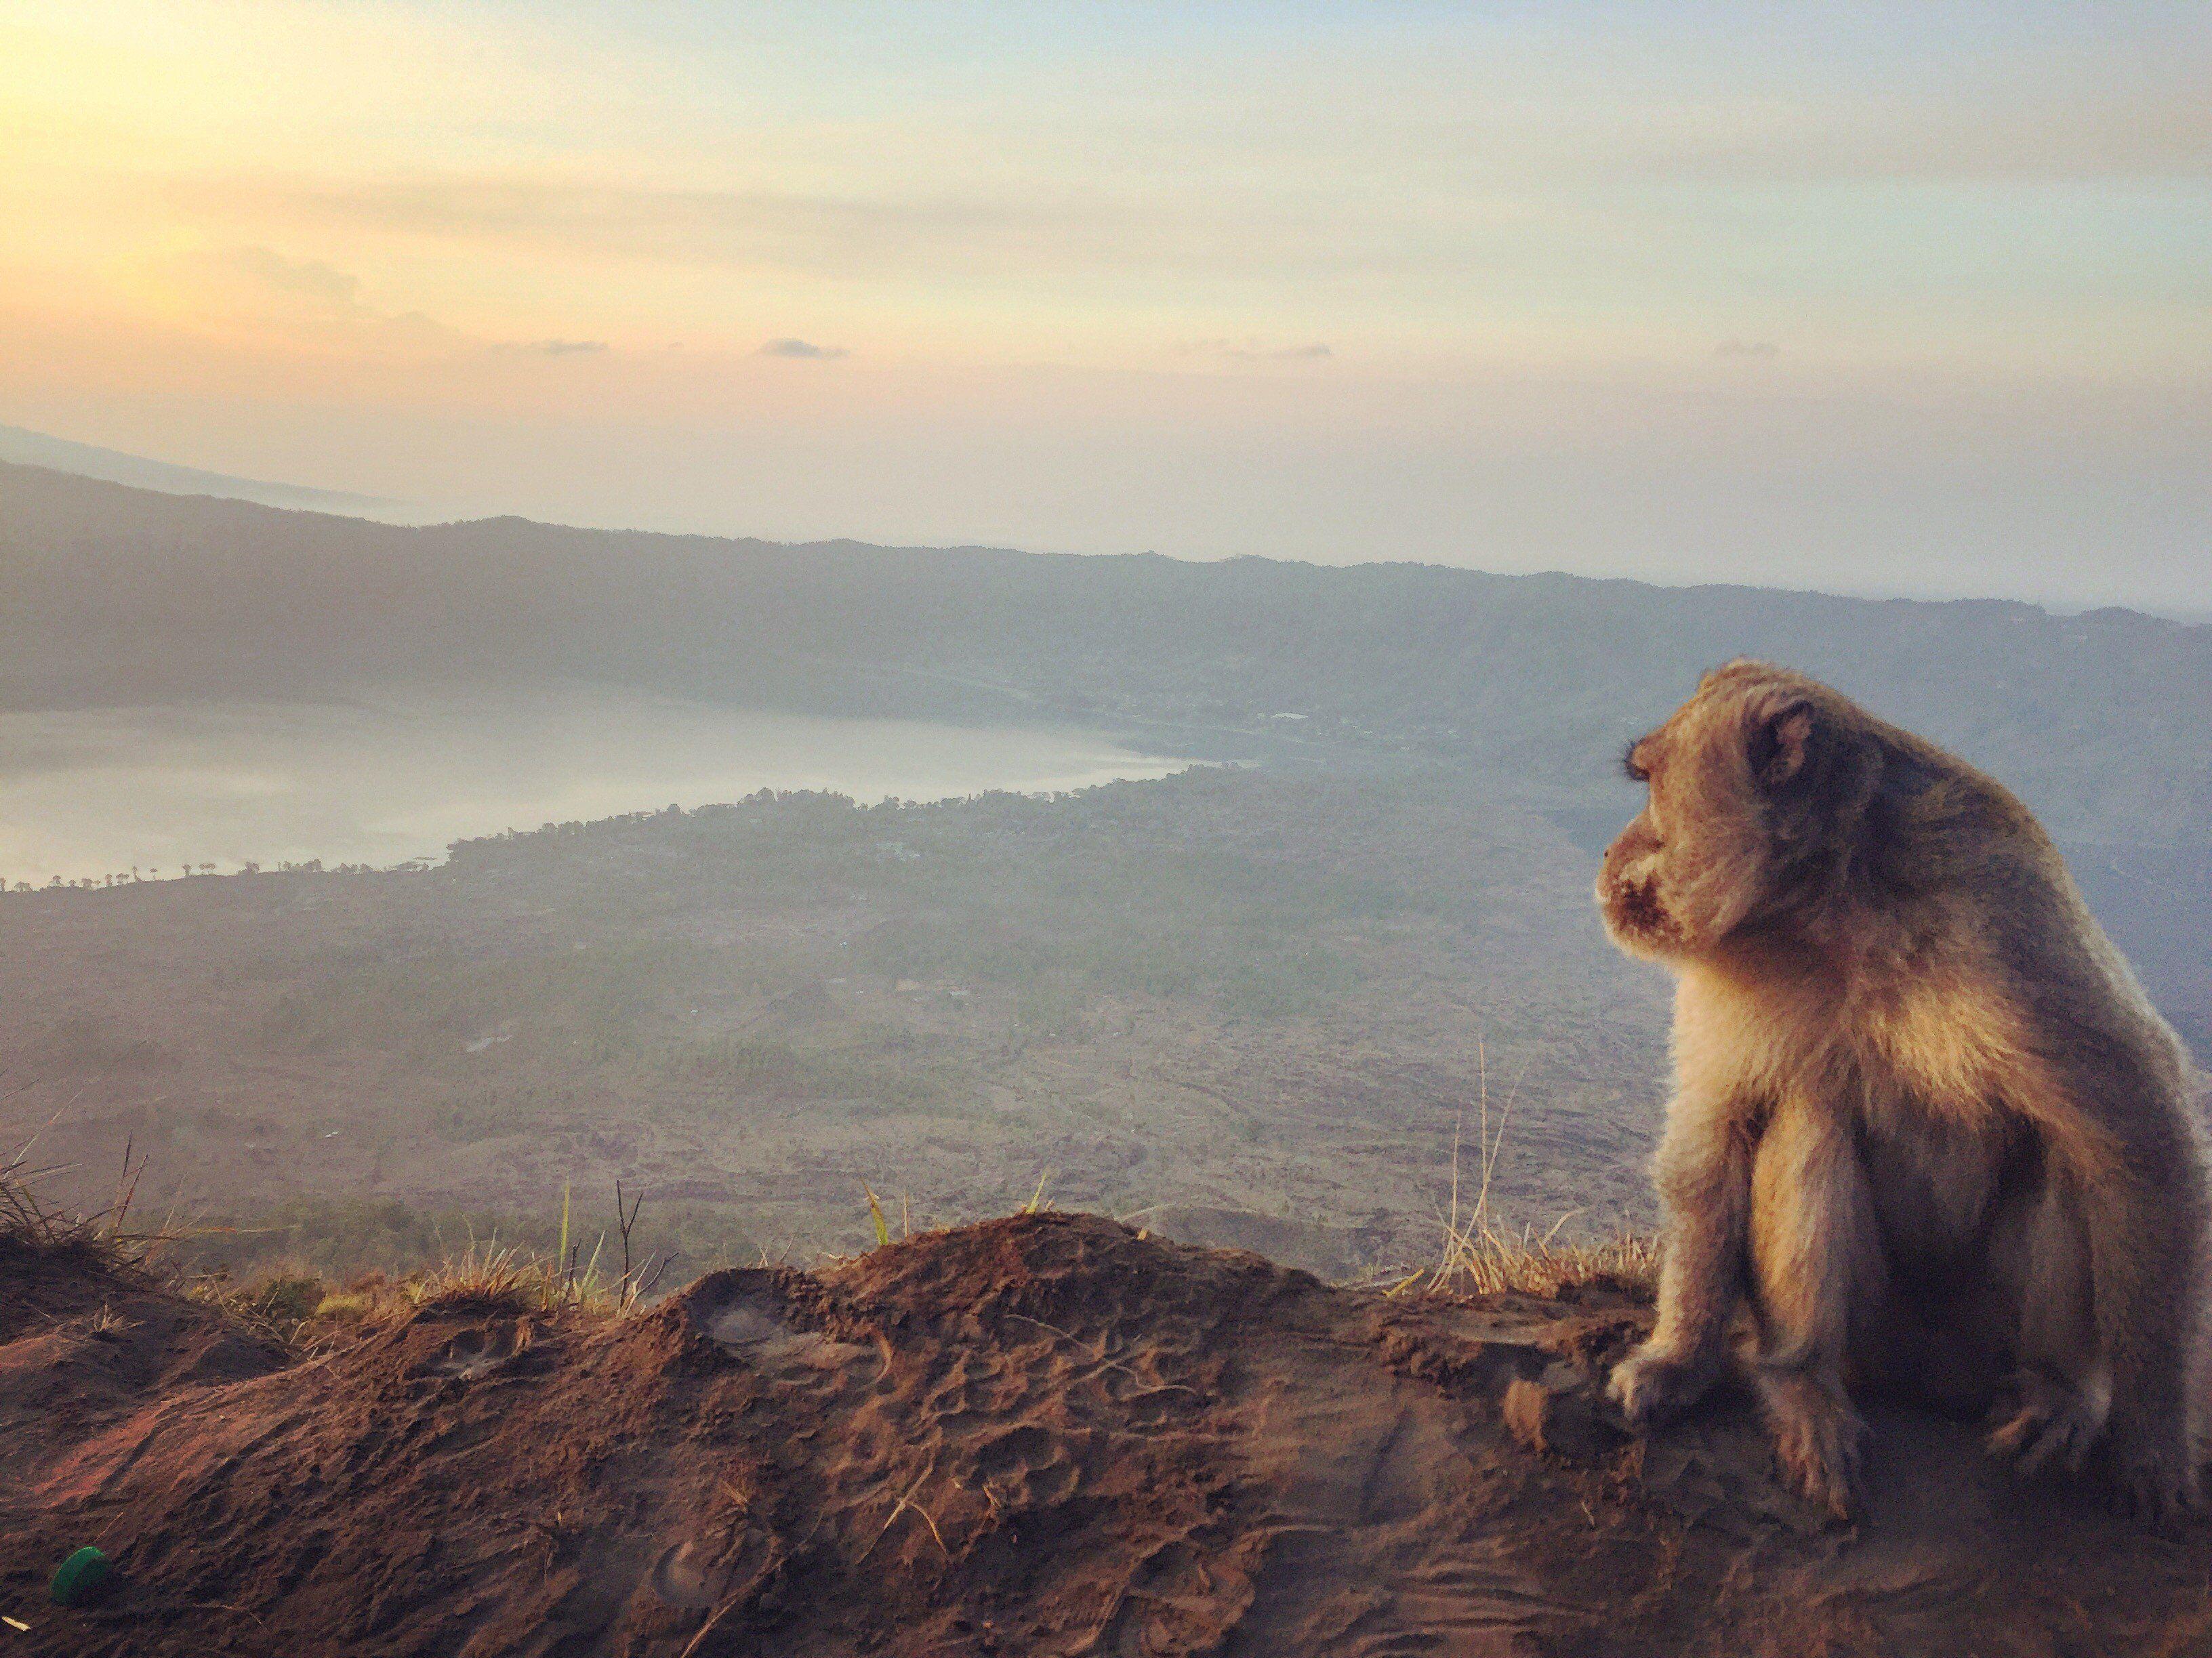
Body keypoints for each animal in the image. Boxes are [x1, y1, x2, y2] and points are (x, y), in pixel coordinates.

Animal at [1595, 659, 2210, 1520]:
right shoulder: (1729, 967)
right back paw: (1803, 1381)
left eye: (1651, 784)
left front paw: (2152, 1441)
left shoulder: (2002, 913)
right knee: (1811, 1114)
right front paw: (1680, 1360)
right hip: (1875, 1336)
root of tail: (1931, 1379)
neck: (1836, 903)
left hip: (1985, 1337)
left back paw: (2057, 1389)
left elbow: (2139, 1134)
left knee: (2064, 1153)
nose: (1613, 852)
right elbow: (1715, 1137)